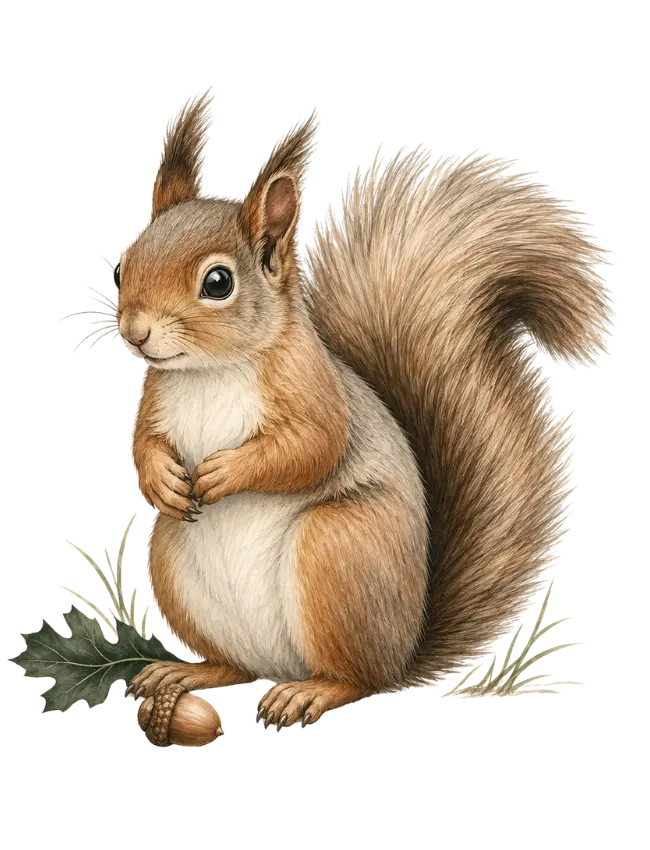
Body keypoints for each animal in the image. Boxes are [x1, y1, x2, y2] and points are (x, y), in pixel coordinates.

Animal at [121, 89, 613, 727]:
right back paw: (188, 671)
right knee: (237, 667)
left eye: (218, 282)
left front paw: (225, 471)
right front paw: (162, 478)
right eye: (126, 258)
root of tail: (402, 653)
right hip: (173, 560)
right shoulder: (156, 395)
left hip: (337, 550)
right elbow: (143, 444)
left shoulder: (310, 387)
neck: (209, 371)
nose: (134, 333)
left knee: (357, 679)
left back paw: (310, 693)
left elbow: (313, 446)